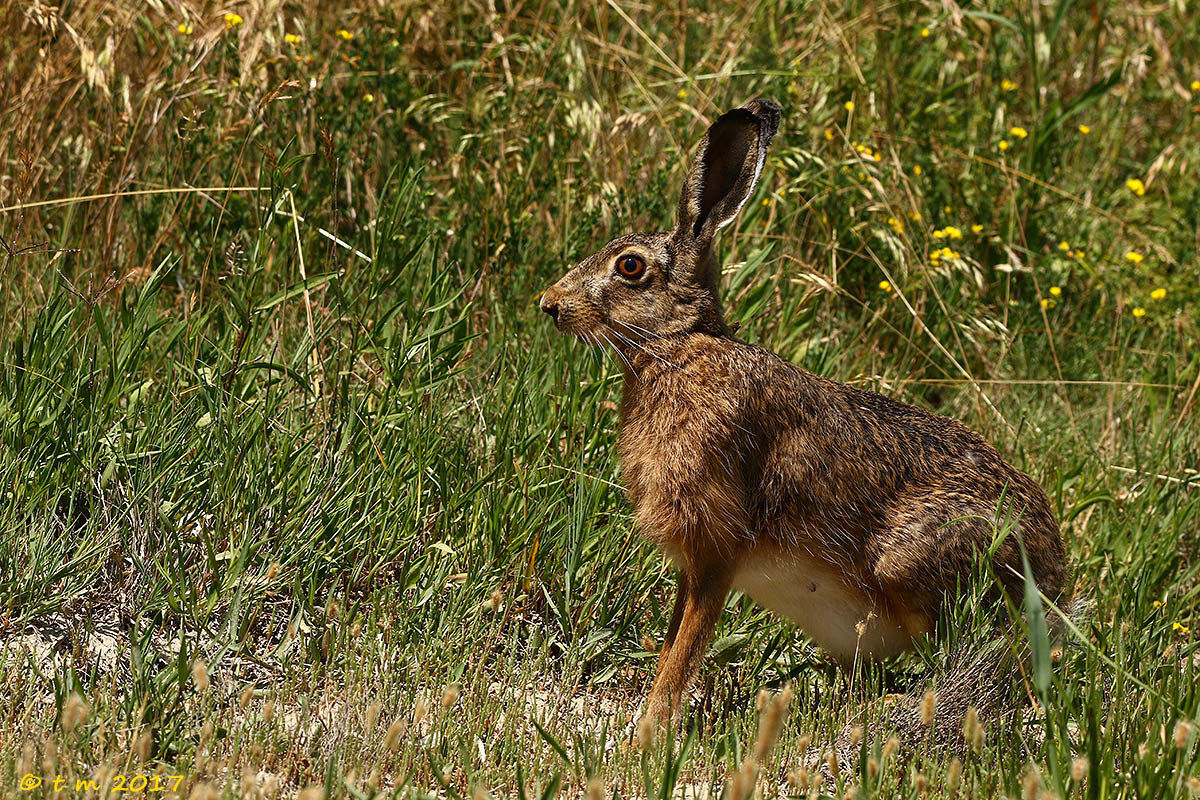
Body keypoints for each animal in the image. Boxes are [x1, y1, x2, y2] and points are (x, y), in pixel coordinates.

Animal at [538, 98, 1068, 724]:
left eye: (629, 267)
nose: (550, 304)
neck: (679, 345)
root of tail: (1056, 581)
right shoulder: (693, 564)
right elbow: (673, 639)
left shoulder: (717, 550)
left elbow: (685, 648)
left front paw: (652, 726)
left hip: (913, 559)